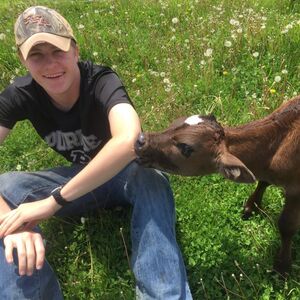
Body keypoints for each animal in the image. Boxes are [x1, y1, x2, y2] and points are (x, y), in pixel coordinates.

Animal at [135, 95, 300, 276]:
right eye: (174, 123)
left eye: (185, 147)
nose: (141, 140)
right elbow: (263, 182)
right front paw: (251, 207)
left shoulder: (295, 189)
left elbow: (286, 225)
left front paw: (282, 266)